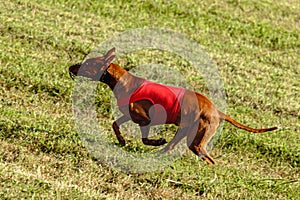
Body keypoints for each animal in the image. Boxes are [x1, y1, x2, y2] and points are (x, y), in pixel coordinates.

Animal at [69, 47, 278, 165]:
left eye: (87, 63)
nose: (70, 67)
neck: (122, 81)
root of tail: (217, 110)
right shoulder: (129, 115)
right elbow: (115, 124)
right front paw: (121, 141)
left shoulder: (145, 119)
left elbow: (145, 138)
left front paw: (155, 141)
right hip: (187, 133)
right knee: (172, 147)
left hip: (196, 140)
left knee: (210, 160)